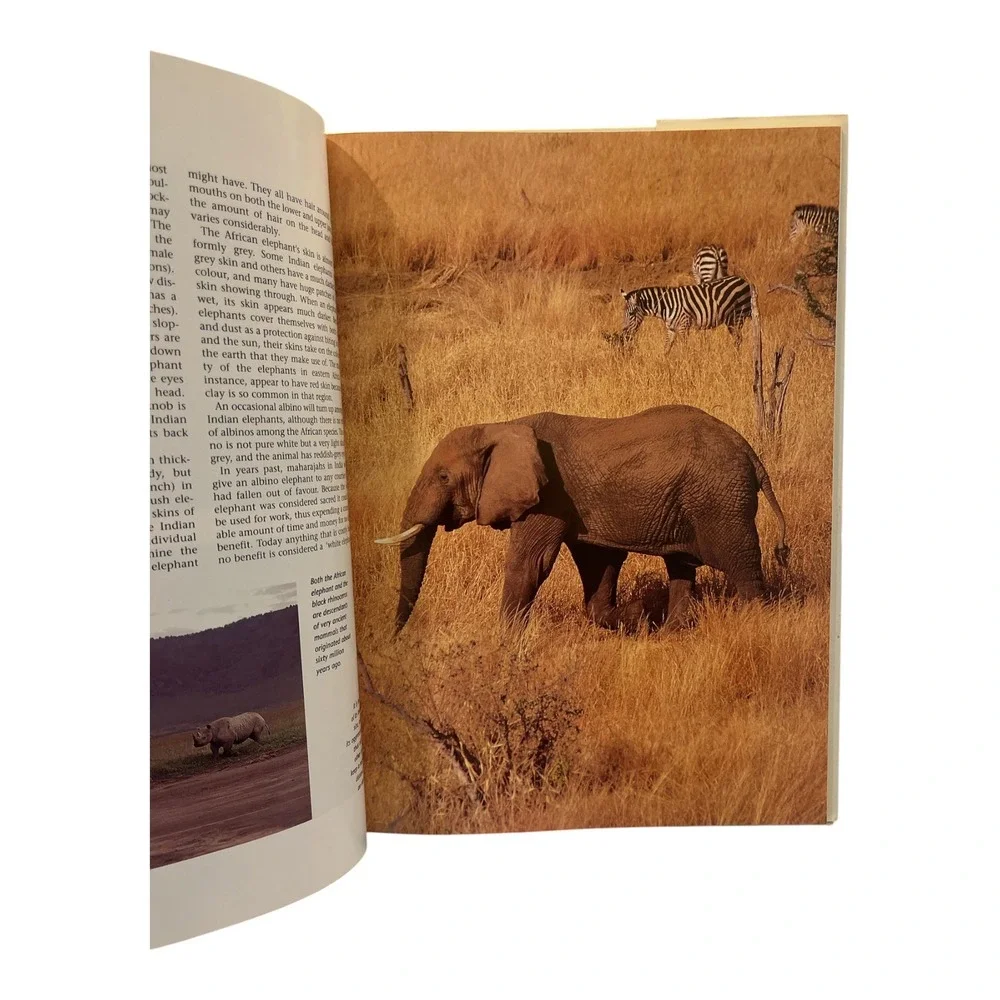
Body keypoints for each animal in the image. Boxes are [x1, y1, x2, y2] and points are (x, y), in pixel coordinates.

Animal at [375, 404, 789, 634]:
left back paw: (754, 628)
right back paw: (671, 633)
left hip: (721, 502)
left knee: (740, 566)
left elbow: (530, 564)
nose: (395, 639)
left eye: (444, 477)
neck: (502, 426)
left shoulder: (549, 497)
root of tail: (751, 454)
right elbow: (597, 564)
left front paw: (505, 645)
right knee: (681, 566)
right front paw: (636, 617)